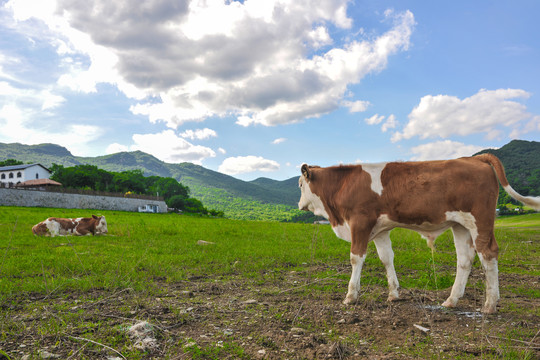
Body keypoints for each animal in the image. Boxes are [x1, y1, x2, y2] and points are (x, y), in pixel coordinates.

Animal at [300, 154, 540, 312]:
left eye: (300, 184)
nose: (300, 204)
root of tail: (473, 158)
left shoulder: (360, 223)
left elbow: (356, 258)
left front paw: (350, 296)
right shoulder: (379, 230)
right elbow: (386, 258)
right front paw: (394, 294)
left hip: (480, 221)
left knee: (488, 254)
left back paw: (489, 305)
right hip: (460, 225)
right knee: (464, 259)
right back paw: (452, 300)